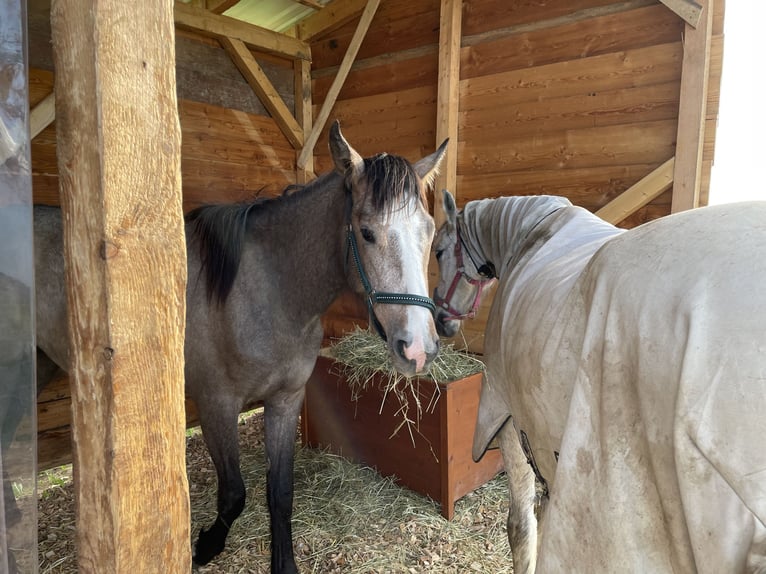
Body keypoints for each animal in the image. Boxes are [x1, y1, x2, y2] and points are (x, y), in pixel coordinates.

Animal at [31, 124, 450, 572]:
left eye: (428, 231)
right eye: (367, 232)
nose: (419, 349)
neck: (268, 292)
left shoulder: (285, 400)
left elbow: (280, 493)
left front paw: (283, 562)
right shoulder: (216, 405)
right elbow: (234, 493)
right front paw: (205, 546)